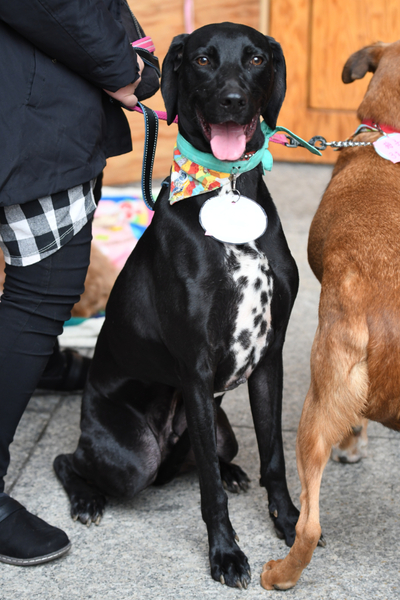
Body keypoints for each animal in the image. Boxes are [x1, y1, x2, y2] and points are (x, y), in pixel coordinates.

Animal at [54, 22, 300, 589]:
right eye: (204, 60)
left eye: (255, 58)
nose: (232, 101)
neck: (225, 187)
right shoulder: (195, 367)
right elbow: (207, 491)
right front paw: (226, 553)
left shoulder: (269, 358)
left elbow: (274, 457)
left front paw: (291, 524)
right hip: (131, 457)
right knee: (69, 460)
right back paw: (85, 499)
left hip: (221, 429)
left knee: (211, 455)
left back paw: (233, 471)